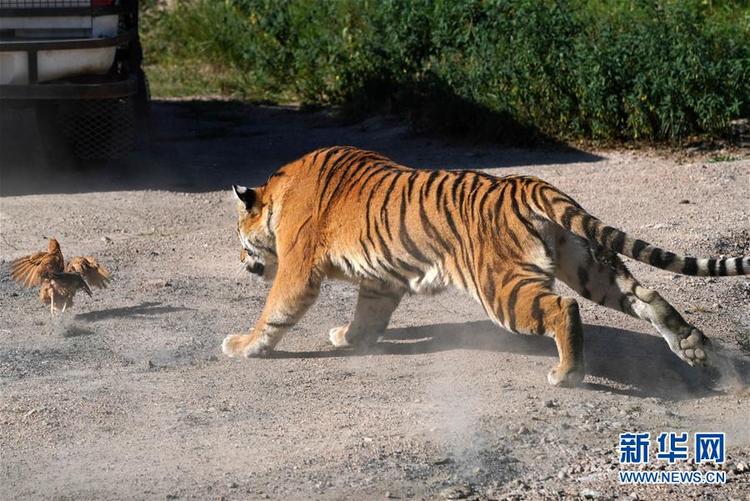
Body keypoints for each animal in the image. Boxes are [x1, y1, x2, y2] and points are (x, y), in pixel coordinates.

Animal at [225, 145, 750, 386]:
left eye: (239, 238)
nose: (241, 260)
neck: (278, 191)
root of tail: (530, 183)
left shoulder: (298, 269)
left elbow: (275, 310)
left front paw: (244, 346)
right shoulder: (380, 281)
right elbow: (367, 316)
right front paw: (349, 338)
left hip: (503, 287)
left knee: (563, 309)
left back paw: (567, 374)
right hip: (589, 264)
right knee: (646, 296)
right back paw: (691, 348)